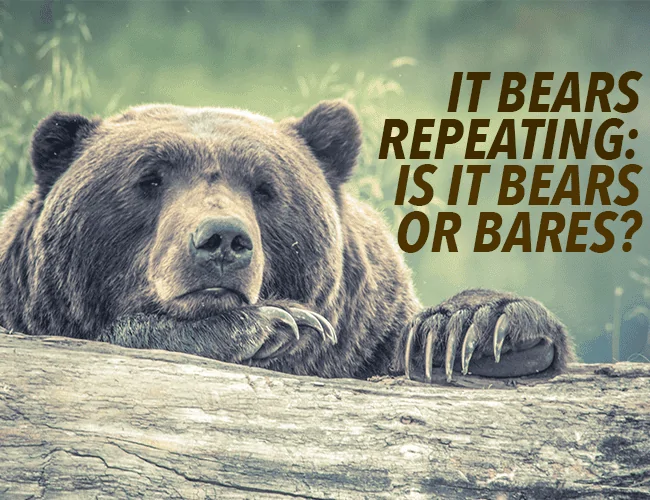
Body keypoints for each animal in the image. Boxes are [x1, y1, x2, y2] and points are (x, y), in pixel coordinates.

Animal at [0, 100, 574, 383]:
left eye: (264, 187)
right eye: (150, 179)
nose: (222, 240)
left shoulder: (368, 332)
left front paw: (476, 329)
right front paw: (277, 323)